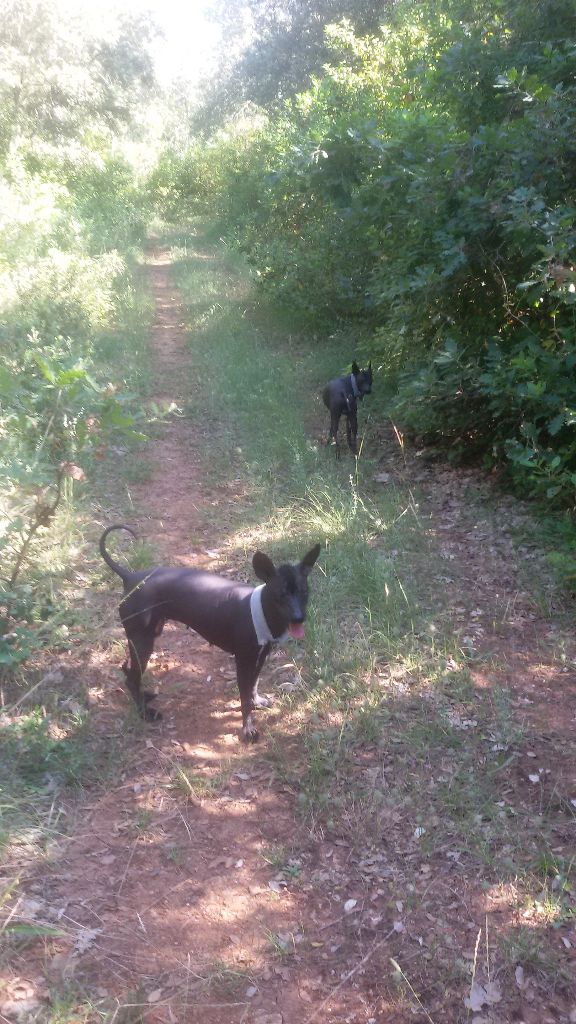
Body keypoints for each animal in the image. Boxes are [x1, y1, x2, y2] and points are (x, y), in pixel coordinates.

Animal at [100, 525, 321, 741]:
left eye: (304, 592)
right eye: (280, 595)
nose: (298, 618)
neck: (261, 608)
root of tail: (130, 578)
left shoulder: (260, 657)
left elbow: (254, 686)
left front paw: (256, 701)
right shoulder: (243, 661)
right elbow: (244, 697)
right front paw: (248, 729)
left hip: (147, 636)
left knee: (128, 671)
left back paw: (144, 697)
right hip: (142, 641)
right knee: (131, 677)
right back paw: (145, 713)